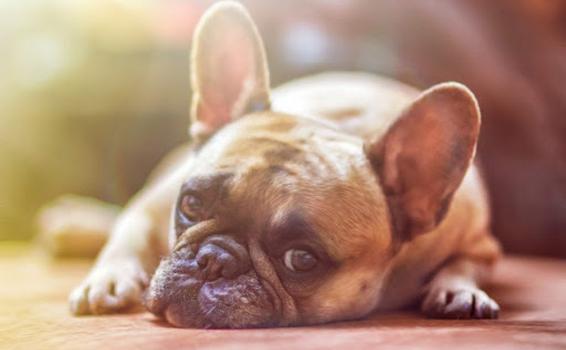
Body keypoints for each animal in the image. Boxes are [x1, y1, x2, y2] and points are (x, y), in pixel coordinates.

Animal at [67, 0, 502, 328]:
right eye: (190, 205)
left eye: (301, 259)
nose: (214, 259)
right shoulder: (157, 204)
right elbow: (129, 231)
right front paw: (109, 278)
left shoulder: (481, 242)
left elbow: (468, 263)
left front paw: (459, 289)